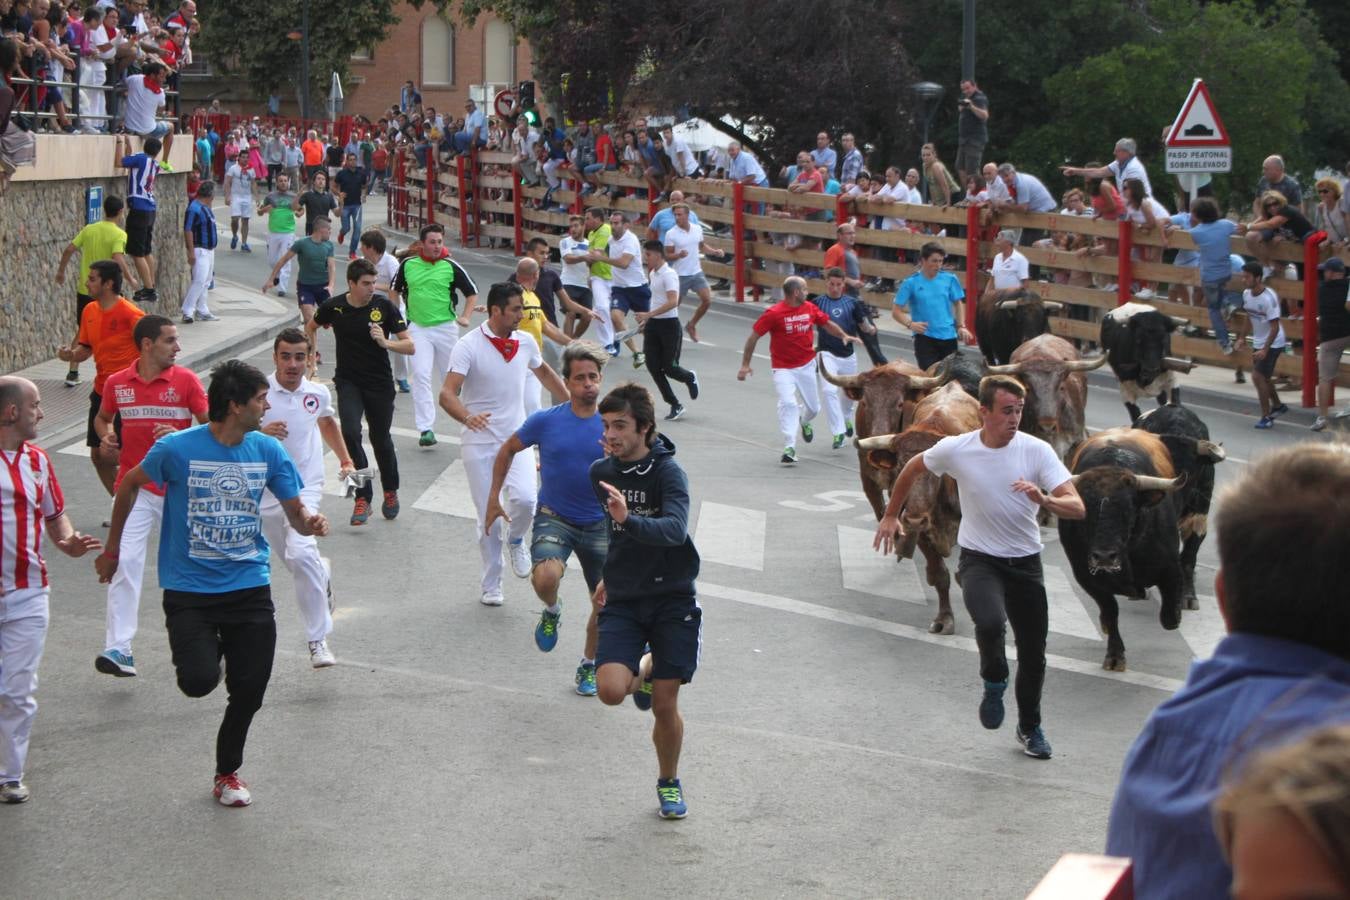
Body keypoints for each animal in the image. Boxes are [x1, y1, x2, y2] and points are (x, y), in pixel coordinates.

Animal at [847, 383, 977, 634]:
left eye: (938, 470)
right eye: (900, 466)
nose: (915, 519)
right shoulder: (921, 531)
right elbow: (939, 574)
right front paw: (944, 619)